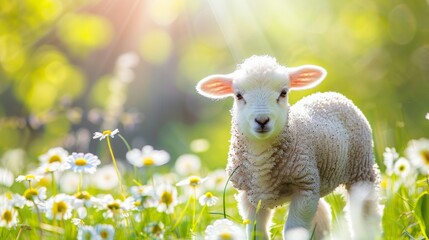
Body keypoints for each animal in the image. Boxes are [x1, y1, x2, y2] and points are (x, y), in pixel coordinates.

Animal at [194, 55, 378, 239]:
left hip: (361, 169)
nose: (262, 120)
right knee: (322, 214)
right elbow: (256, 231)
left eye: (283, 93)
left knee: (366, 213)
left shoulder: (305, 188)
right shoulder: (249, 197)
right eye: (238, 95)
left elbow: (293, 229)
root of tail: (330, 95)